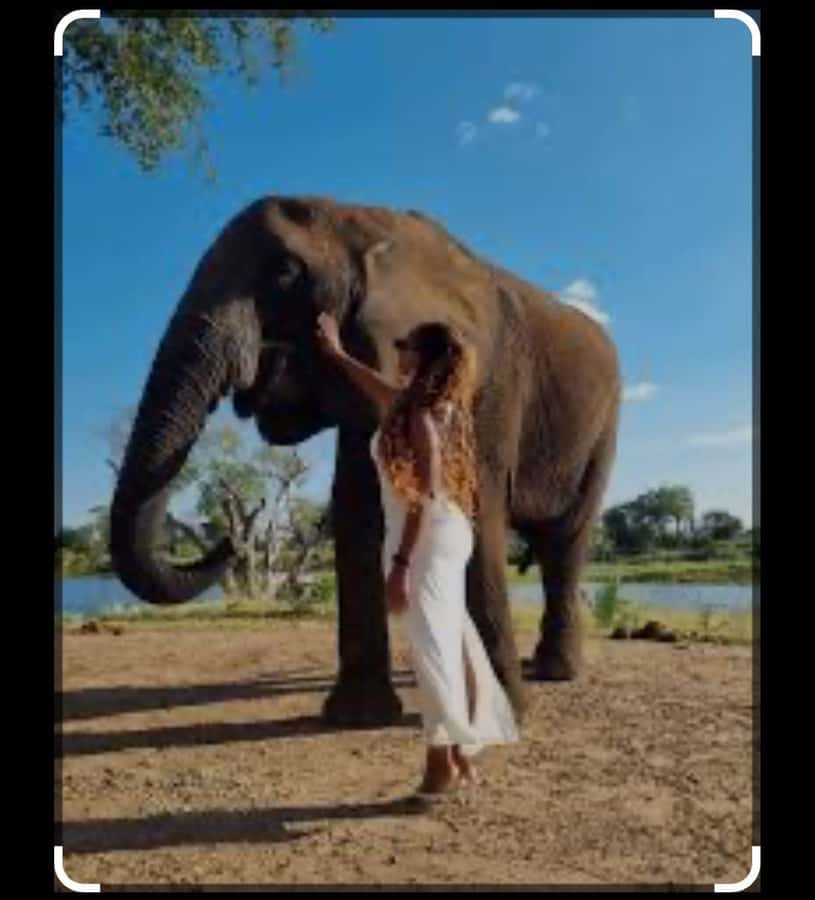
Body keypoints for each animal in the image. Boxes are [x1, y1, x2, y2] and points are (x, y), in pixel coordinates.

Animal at [109, 195, 621, 727]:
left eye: (286, 272)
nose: (229, 541)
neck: (365, 218)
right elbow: (357, 507)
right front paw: (358, 717)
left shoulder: (490, 381)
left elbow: (474, 499)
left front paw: (503, 718)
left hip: (603, 428)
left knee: (565, 541)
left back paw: (553, 673)